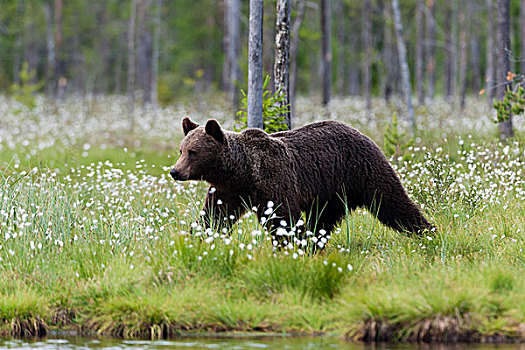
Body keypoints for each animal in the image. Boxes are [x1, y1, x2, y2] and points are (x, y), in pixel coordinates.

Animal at [170, 117, 432, 243]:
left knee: (391, 201)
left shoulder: (273, 181)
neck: (242, 172)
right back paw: (316, 241)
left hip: (362, 171)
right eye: (181, 150)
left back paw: (426, 230)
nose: (175, 171)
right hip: (331, 192)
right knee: (323, 219)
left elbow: (282, 218)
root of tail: (361, 133)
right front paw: (197, 238)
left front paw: (292, 244)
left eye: (193, 152)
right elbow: (215, 216)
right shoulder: (228, 191)